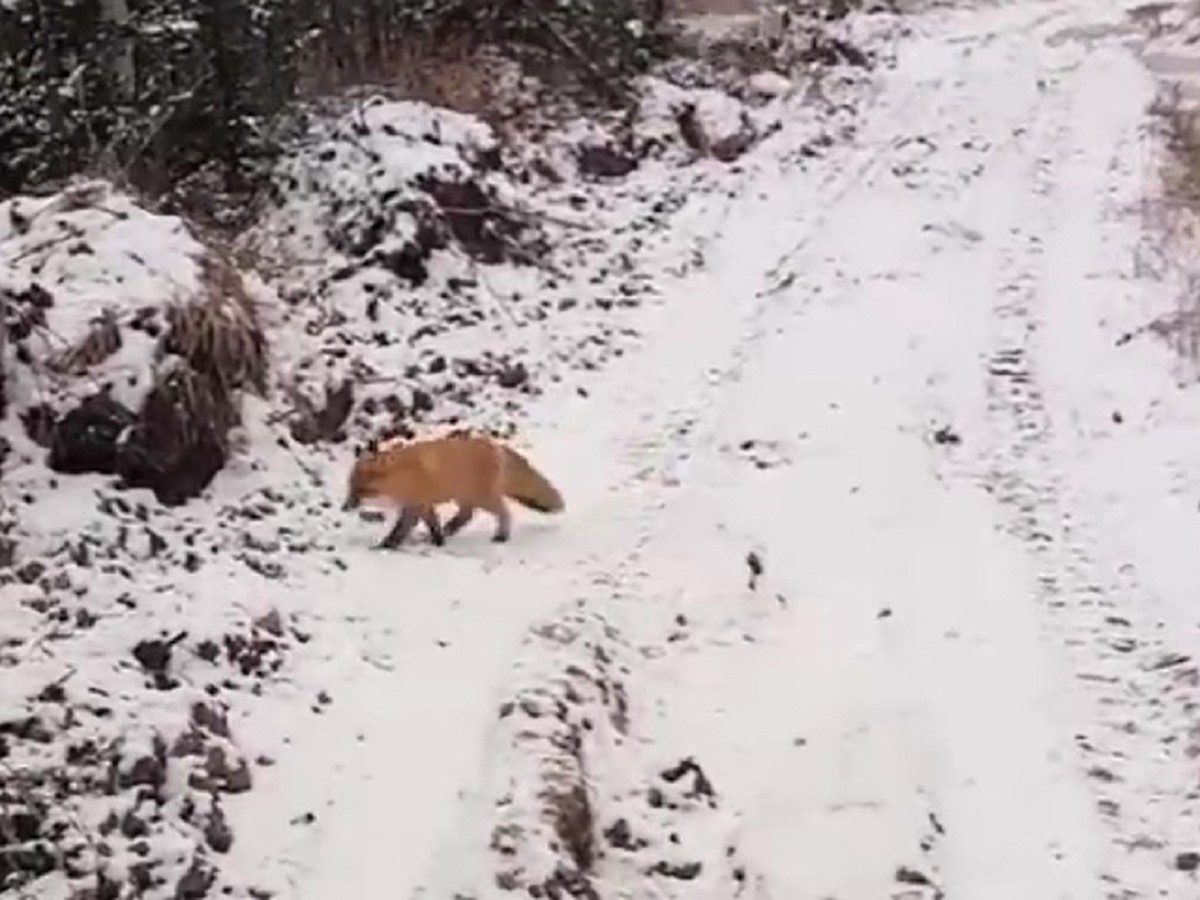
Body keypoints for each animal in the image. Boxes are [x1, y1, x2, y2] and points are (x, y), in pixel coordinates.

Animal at [338, 432, 561, 549]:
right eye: (350, 487)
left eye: (361, 490)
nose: (344, 507)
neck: (399, 477)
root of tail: (494, 444)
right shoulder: (423, 505)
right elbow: (433, 525)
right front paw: (438, 540)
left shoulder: (415, 506)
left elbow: (399, 530)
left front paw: (385, 546)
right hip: (465, 496)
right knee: (466, 516)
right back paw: (450, 529)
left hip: (482, 497)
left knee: (504, 513)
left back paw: (501, 536)